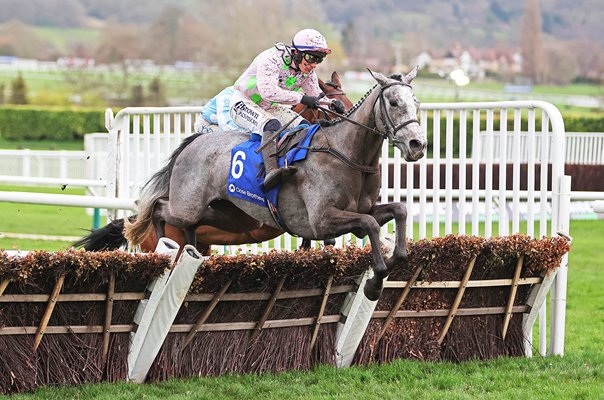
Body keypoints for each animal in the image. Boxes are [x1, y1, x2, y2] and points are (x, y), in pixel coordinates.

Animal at [124, 68, 424, 300]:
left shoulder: (361, 210)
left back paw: (190, 249)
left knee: (192, 224)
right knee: (159, 209)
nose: (417, 144)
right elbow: (370, 225)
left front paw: (388, 266)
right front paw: (375, 283)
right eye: (394, 102)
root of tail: (193, 142)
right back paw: (163, 248)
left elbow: (399, 212)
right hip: (186, 206)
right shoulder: (321, 220)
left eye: (416, 103)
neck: (347, 154)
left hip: (232, 217)